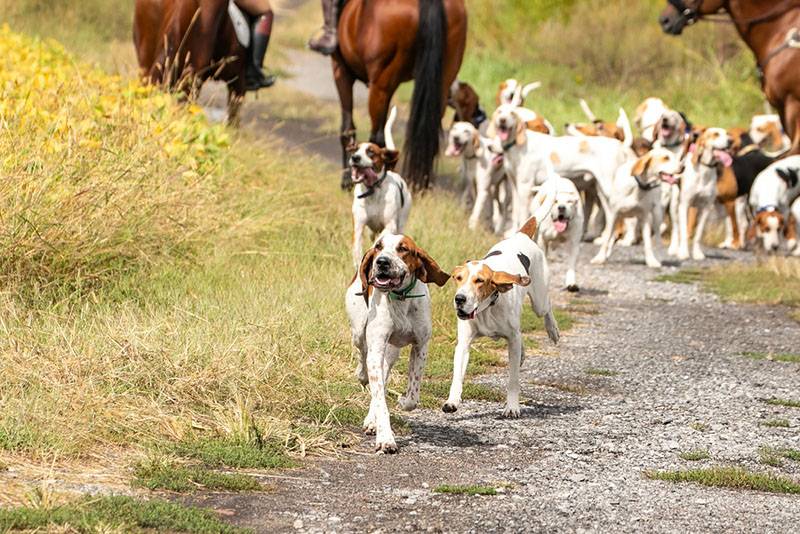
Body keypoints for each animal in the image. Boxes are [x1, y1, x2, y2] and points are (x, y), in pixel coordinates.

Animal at [332, 0, 468, 192]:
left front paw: (347, 181)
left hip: (380, 85)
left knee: (378, 137)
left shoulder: (341, 71)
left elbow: (347, 128)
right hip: (445, 75)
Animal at [346, 232, 454, 454]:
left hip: (392, 352)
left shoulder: (420, 346)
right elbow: (381, 401)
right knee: (363, 358)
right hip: (359, 332)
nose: (381, 262)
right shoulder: (376, 349)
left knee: (383, 377)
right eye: (378, 246)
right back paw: (362, 377)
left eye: (403, 249)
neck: (401, 297)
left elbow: (412, 398)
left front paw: (403, 400)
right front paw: (385, 439)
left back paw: (371, 419)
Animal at [350, 107, 412, 270]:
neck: (372, 191)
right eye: (355, 149)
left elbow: (382, 237)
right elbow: (357, 245)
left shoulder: (390, 225)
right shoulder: (359, 224)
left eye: (371, 151)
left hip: (401, 221)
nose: (355, 157)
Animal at [444, 183, 564, 418]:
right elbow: (457, 377)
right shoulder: (463, 345)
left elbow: (513, 379)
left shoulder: (512, 338)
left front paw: (512, 406)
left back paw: (552, 329)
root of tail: (521, 236)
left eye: (479, 281)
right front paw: (452, 401)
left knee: (546, 308)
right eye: (458, 278)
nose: (459, 298)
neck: (486, 308)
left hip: (538, 300)